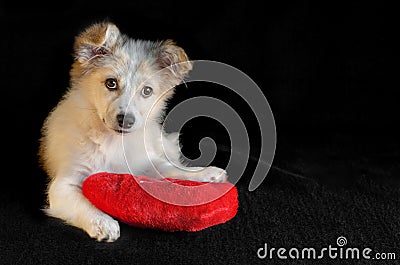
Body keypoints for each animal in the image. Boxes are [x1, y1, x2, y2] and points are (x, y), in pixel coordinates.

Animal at [38, 22, 227, 241]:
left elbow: (171, 168)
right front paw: (103, 222)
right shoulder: (64, 184)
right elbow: (83, 204)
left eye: (147, 91)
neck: (112, 141)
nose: (126, 120)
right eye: (111, 83)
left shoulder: (146, 162)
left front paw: (204, 173)